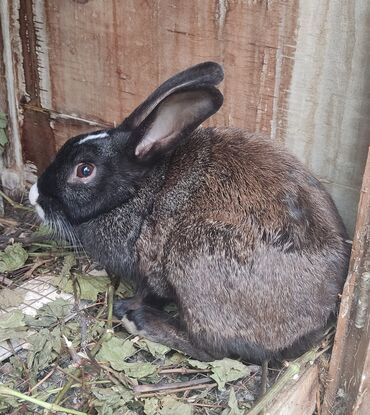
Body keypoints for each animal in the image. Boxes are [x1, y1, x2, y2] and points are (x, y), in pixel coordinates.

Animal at [28, 62, 350, 364]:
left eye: (84, 170)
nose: (34, 196)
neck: (135, 191)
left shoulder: (151, 270)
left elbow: (148, 292)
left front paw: (130, 306)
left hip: (195, 254)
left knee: (212, 349)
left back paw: (138, 320)